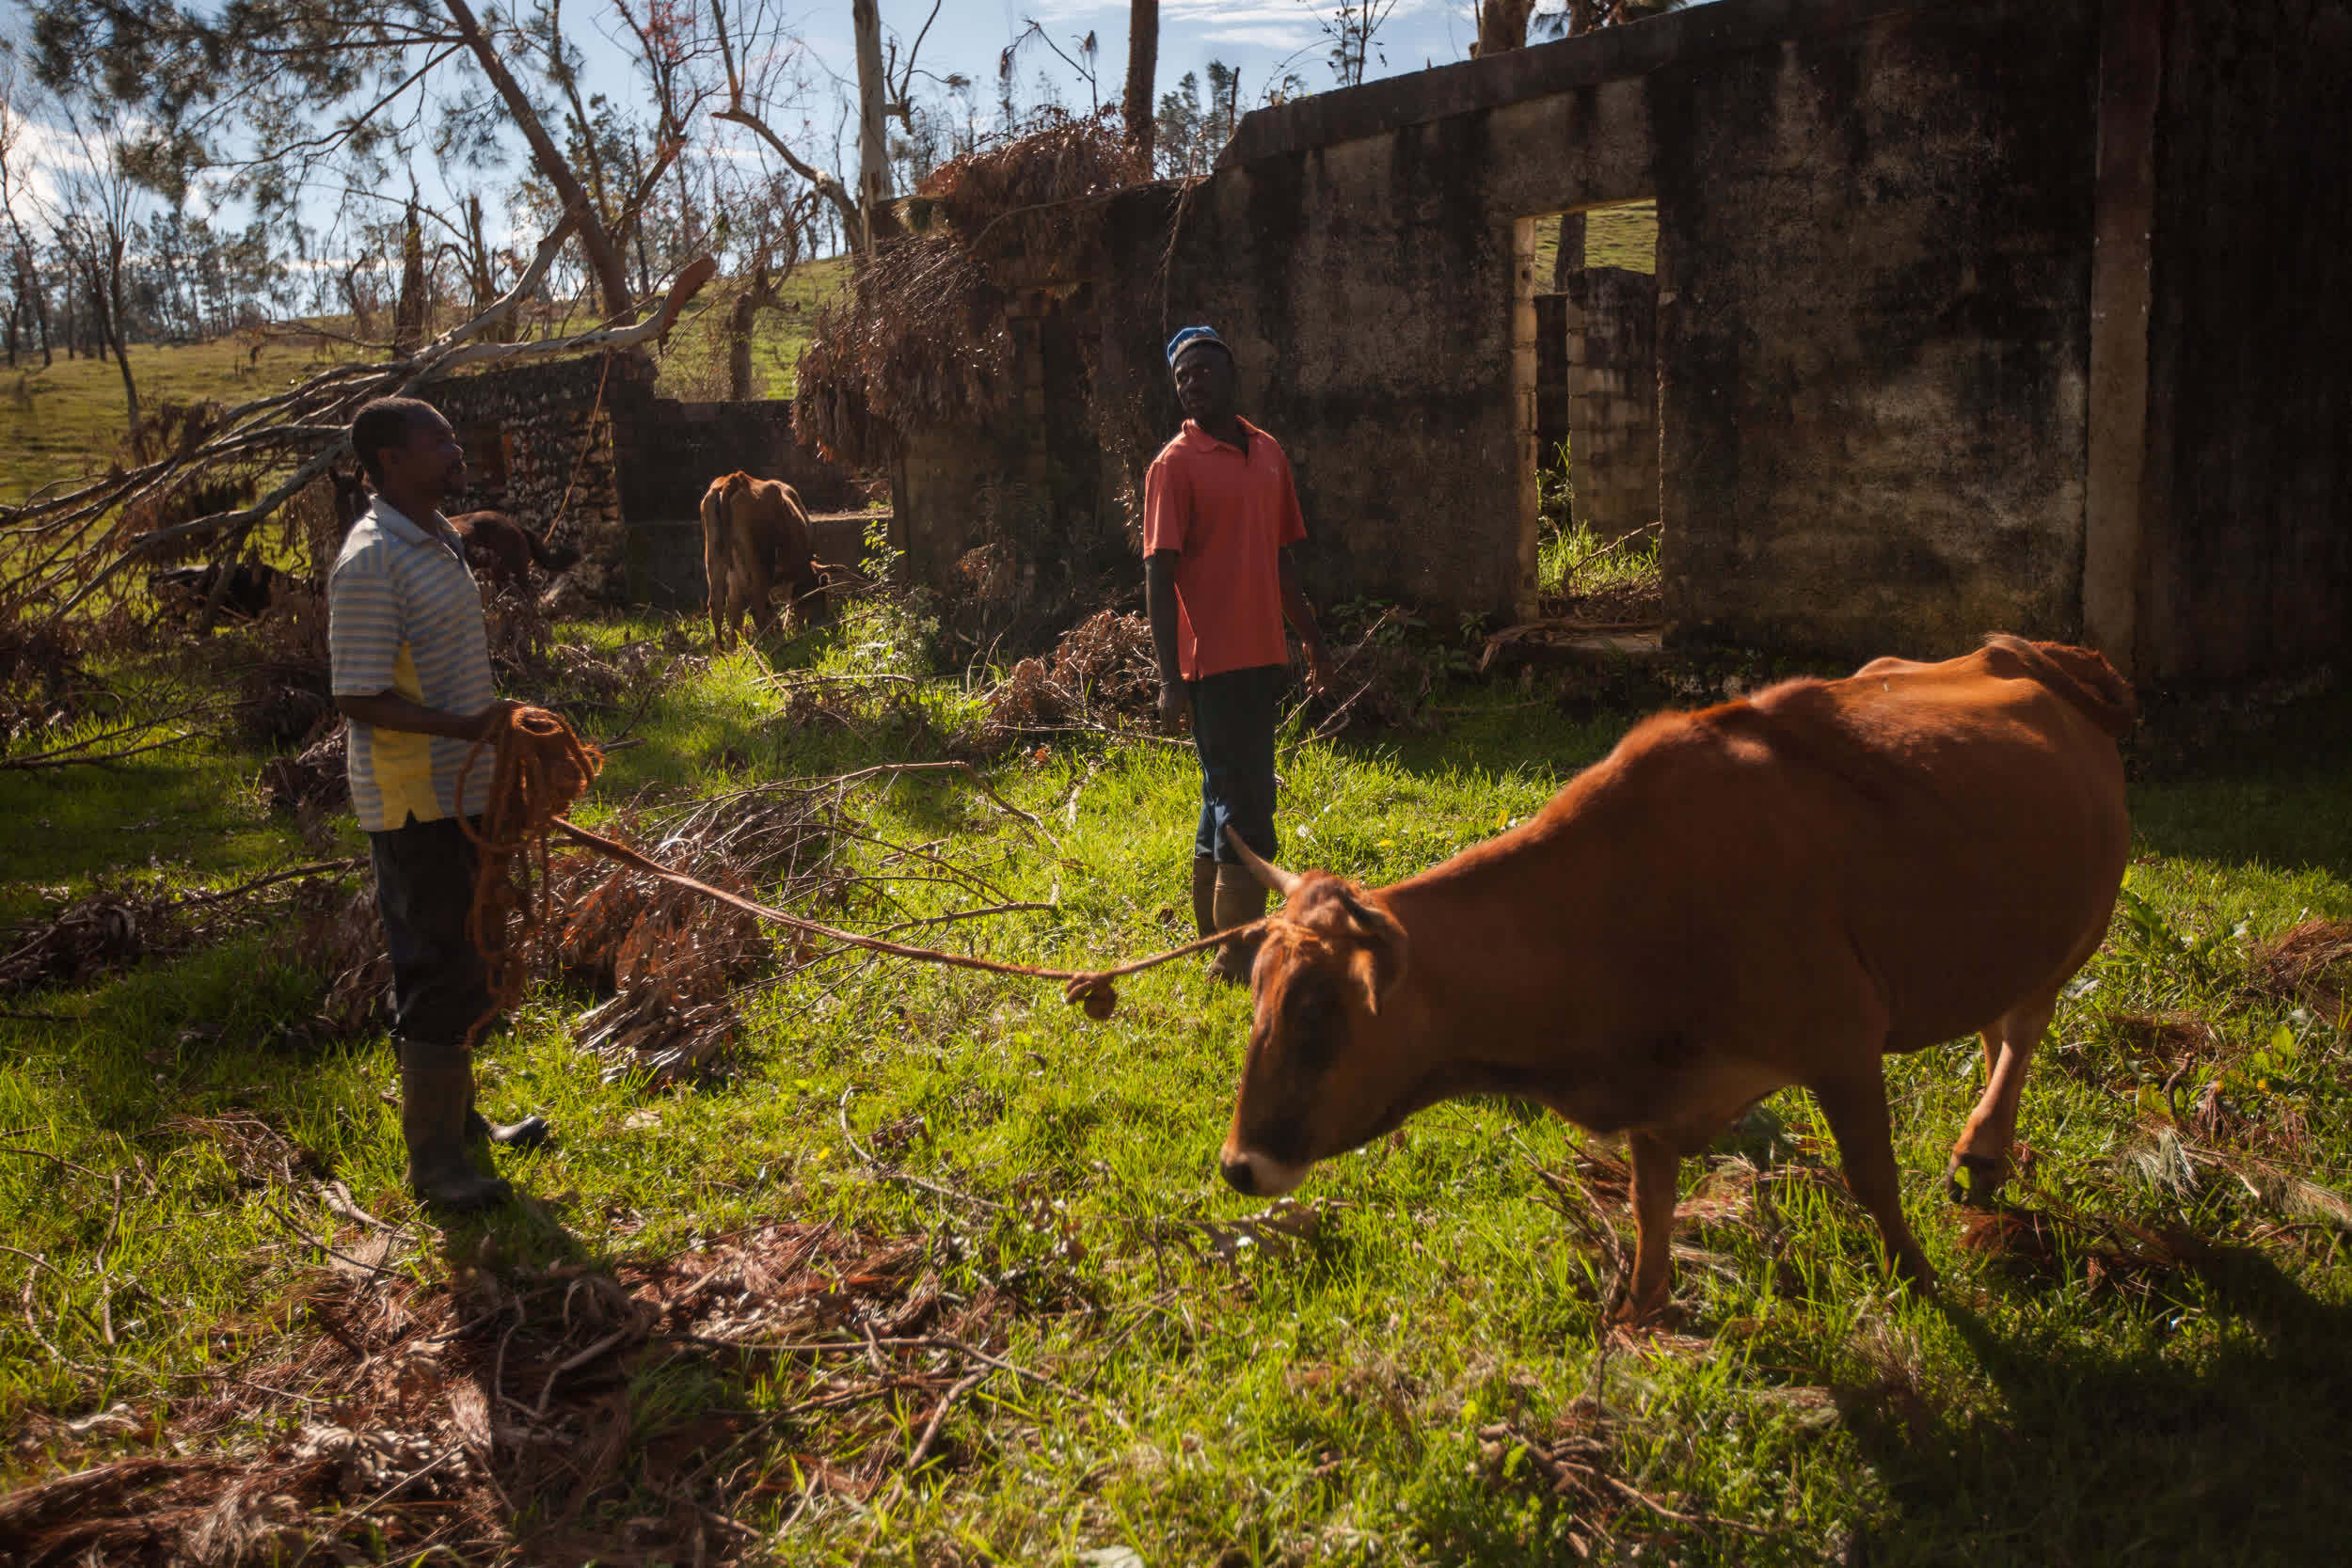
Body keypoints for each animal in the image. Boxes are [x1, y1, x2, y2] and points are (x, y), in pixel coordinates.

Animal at [696, 474, 828, 653]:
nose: (822, 621)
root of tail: (736, 478)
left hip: (714, 558)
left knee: (718, 605)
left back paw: (723, 651)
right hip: (758, 566)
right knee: (757, 607)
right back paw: (767, 644)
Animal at [1214, 629, 2136, 1316]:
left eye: (1316, 1016)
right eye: (1255, 995)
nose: (1238, 1165)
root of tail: (2037, 653)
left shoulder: (1843, 1041)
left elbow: (1873, 1179)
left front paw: (1921, 1278)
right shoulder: (1652, 1094)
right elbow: (1650, 1212)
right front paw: (1638, 1319)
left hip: (2078, 928)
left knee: (2024, 1027)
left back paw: (1982, 1144)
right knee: (1996, 1025)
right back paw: (1988, 1148)